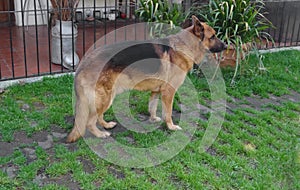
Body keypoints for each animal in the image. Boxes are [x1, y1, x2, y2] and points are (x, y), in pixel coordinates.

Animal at [65, 15, 225, 142]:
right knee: (89, 122)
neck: (186, 45)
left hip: (107, 97)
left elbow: (152, 107)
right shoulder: (169, 92)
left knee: (98, 116)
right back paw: (100, 134)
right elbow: (168, 113)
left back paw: (106, 125)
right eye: (213, 36)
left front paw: (153, 119)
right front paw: (171, 127)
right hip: (105, 98)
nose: (226, 46)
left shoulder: (156, 91)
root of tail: (84, 63)